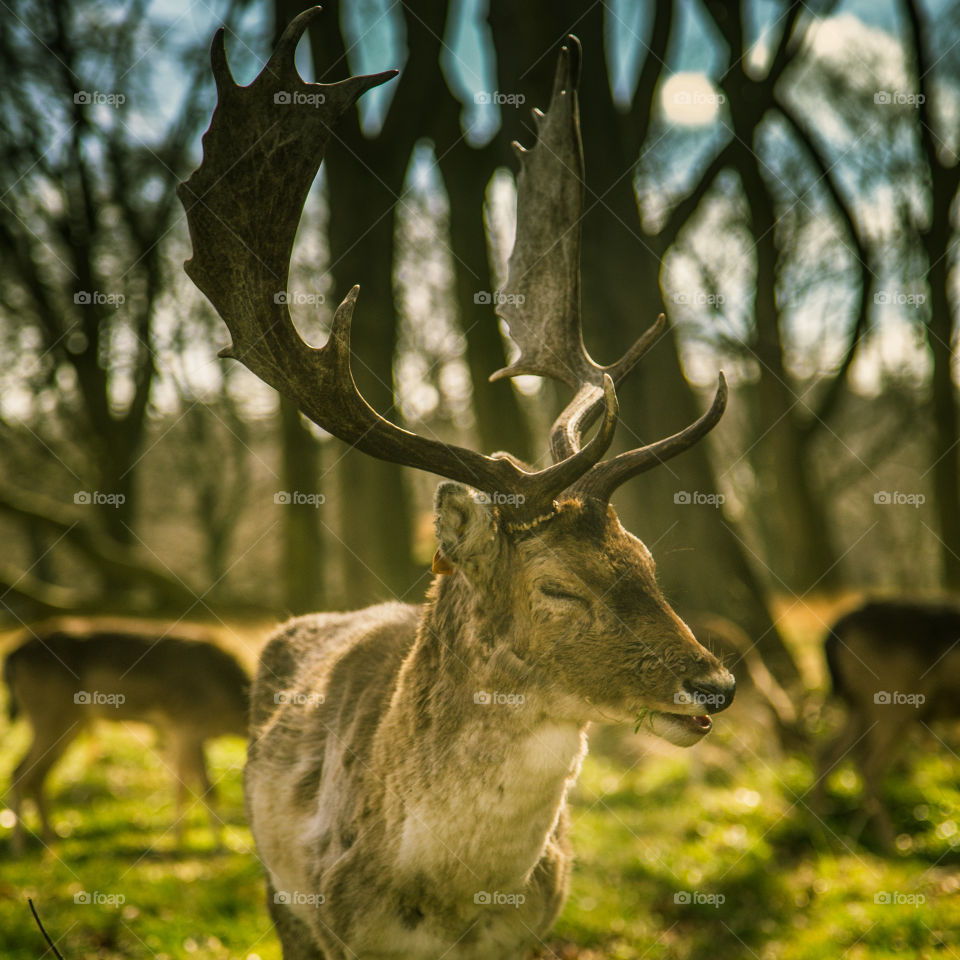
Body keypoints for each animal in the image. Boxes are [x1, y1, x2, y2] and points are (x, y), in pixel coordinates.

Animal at [3, 620, 249, 852]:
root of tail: (11, 657)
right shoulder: (186, 724)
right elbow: (206, 789)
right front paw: (218, 848)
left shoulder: (177, 731)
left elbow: (182, 786)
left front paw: (179, 843)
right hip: (49, 715)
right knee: (19, 772)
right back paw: (19, 848)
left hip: (70, 722)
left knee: (37, 776)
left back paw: (51, 843)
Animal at [180, 9, 736, 960]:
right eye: (559, 587)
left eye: (646, 560)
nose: (714, 685)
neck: (446, 906)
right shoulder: (337, 926)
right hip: (278, 898)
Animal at [816, 596, 960, 844]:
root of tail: (831, 638)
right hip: (891, 701)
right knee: (869, 764)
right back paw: (890, 842)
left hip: (860, 706)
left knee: (828, 752)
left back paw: (821, 829)